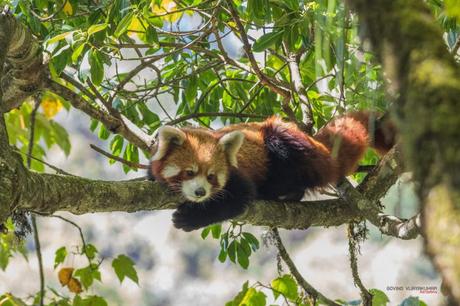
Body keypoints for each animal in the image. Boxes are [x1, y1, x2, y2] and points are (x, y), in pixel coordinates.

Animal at [149, 112, 394, 232]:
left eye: (211, 176)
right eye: (189, 172)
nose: (200, 192)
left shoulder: (238, 175)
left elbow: (238, 199)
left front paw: (190, 218)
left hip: (287, 143)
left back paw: (278, 189)